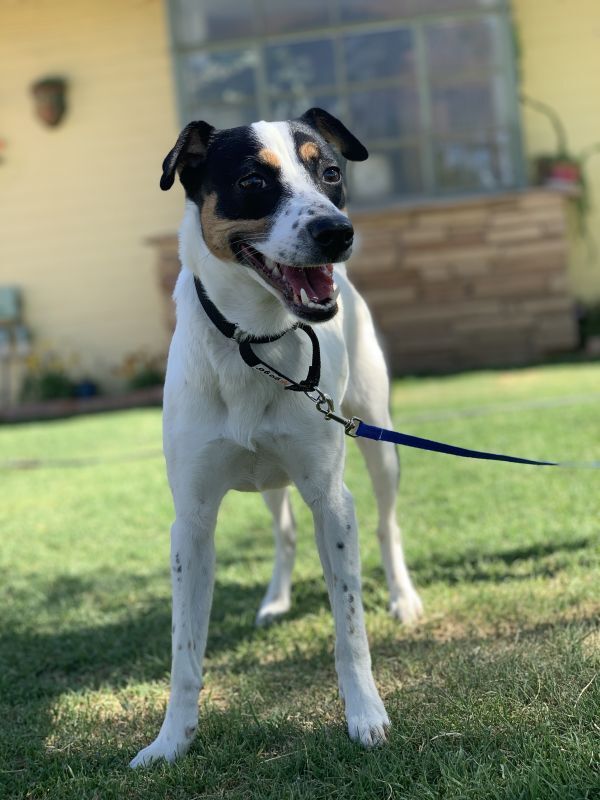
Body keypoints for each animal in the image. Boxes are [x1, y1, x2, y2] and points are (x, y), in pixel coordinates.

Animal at [130, 109, 422, 764]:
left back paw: (403, 597)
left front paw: (366, 713)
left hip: (377, 436)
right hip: (268, 482)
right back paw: (275, 600)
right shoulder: (191, 522)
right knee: (284, 533)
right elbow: (184, 651)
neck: (255, 345)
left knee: (388, 524)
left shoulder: (331, 500)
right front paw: (170, 741)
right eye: (252, 182)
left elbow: (350, 628)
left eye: (331, 172)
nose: (337, 233)